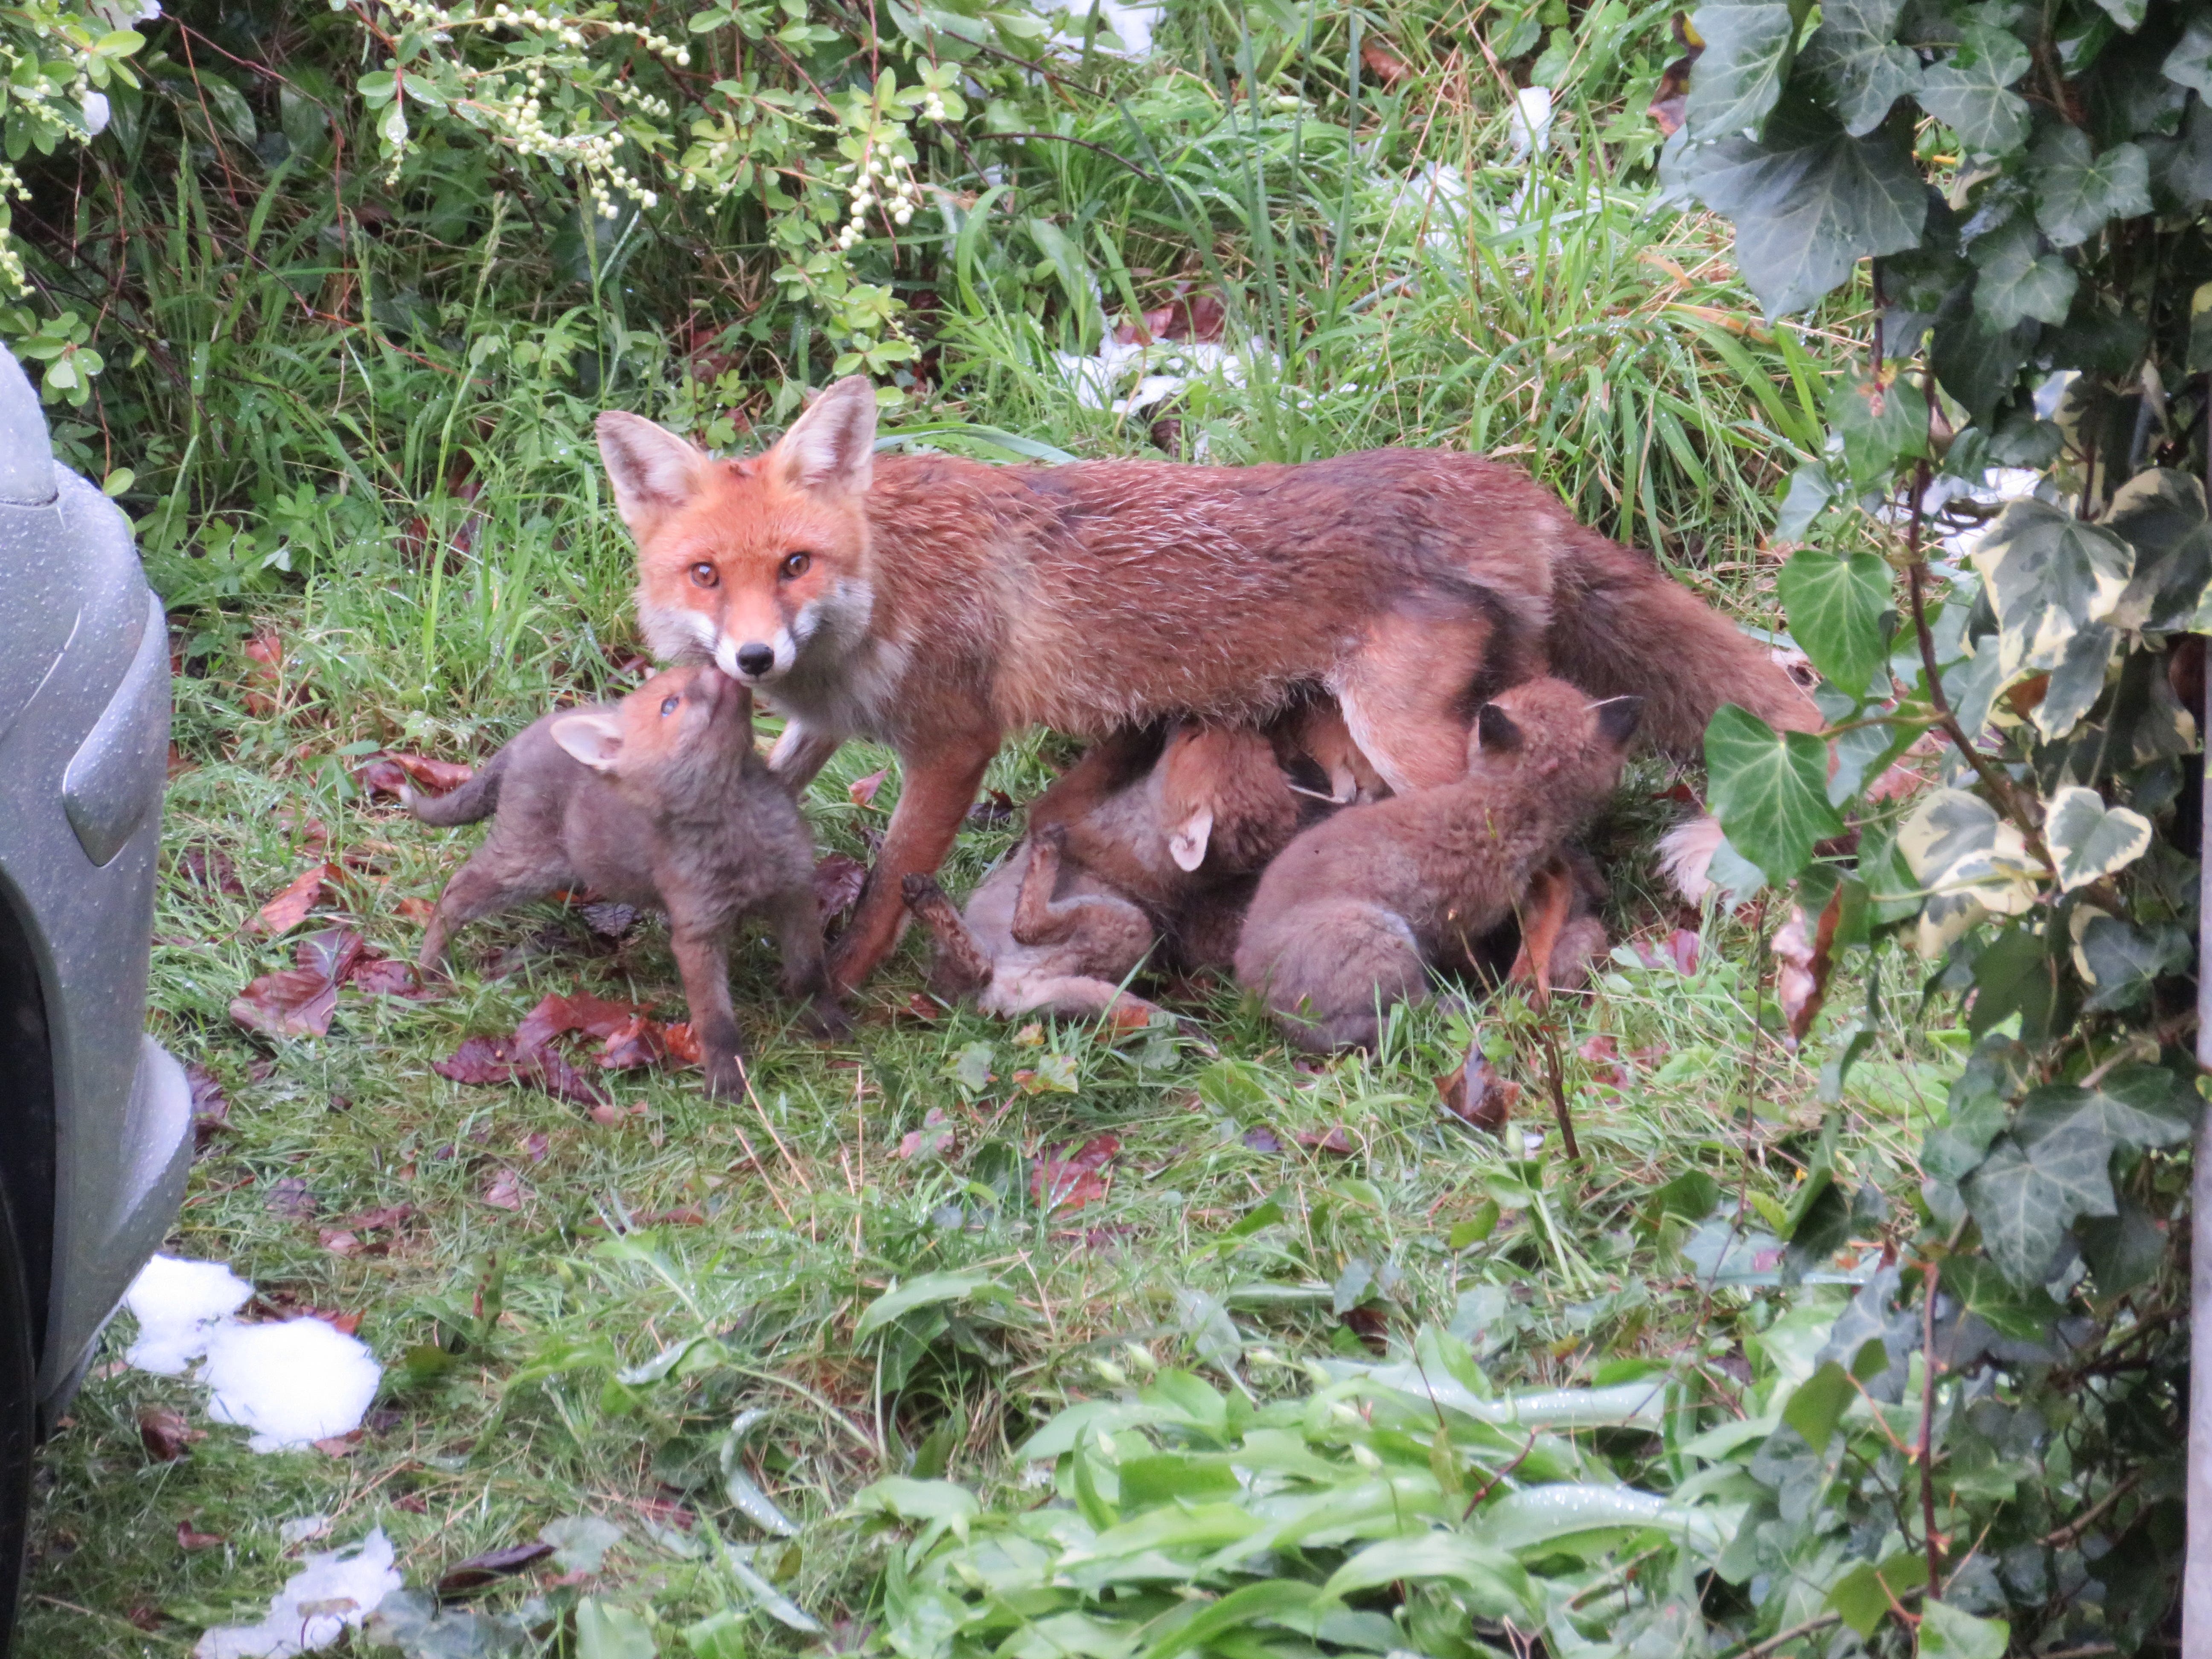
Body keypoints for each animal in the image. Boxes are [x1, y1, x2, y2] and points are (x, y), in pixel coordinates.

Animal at [593, 380, 1813, 987]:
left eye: (796, 565)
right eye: (706, 576)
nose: (753, 659)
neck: (880, 595)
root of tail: (1507, 484)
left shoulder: (951, 744)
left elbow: (892, 883)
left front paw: (837, 995)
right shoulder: (815, 728)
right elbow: (771, 785)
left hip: (1415, 741)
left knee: (1558, 855)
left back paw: (1527, 989)